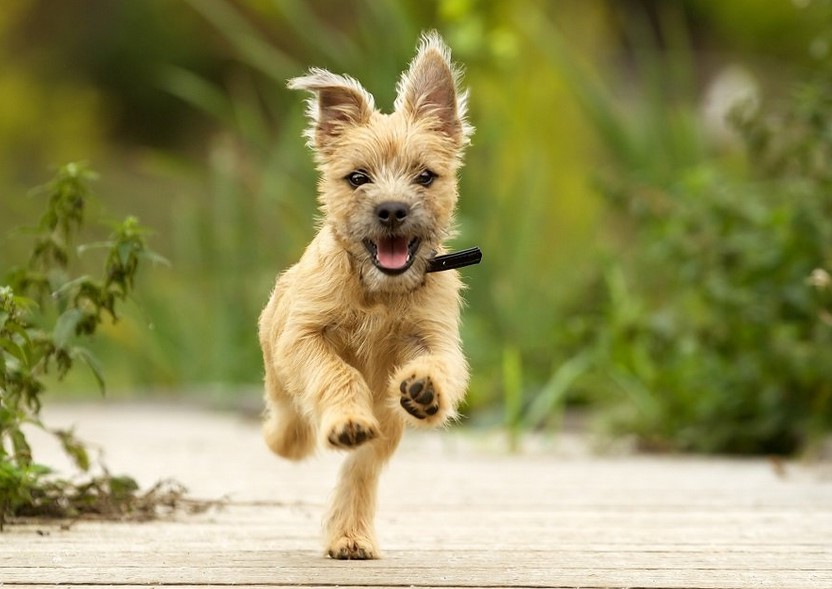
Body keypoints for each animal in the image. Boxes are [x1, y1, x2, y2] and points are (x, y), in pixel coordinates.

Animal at [256, 29, 474, 560]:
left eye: (425, 176)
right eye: (357, 178)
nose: (392, 210)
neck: (379, 292)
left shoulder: (435, 338)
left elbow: (442, 365)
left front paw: (425, 388)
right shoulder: (303, 337)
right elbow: (337, 373)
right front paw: (342, 415)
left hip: (387, 426)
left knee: (361, 470)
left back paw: (350, 535)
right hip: (279, 372)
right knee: (290, 422)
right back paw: (298, 437)